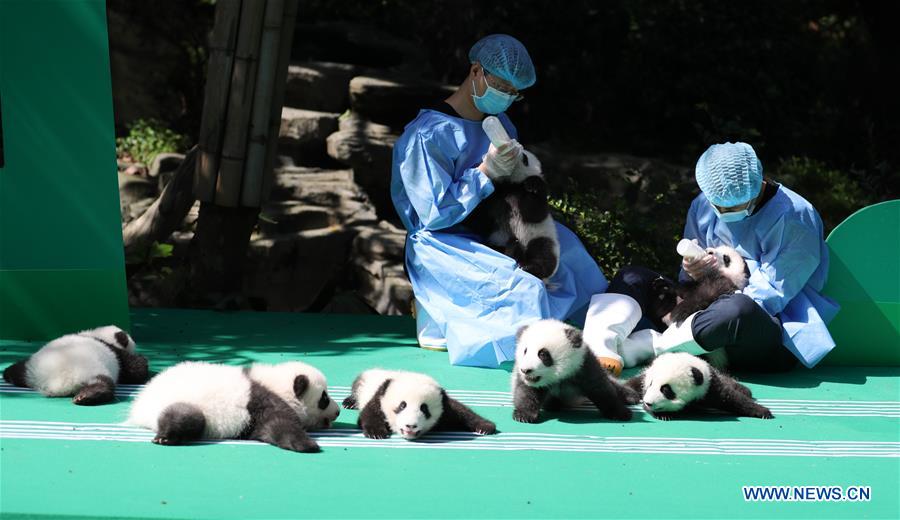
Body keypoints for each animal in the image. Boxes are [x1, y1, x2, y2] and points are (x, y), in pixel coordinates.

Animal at [2, 325, 149, 405]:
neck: (96, 334)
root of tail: (57, 382)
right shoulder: (116, 354)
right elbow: (136, 368)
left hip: (31, 368)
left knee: (18, 371)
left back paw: (8, 373)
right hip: (92, 371)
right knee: (103, 383)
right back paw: (86, 396)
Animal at [127, 360, 340, 453]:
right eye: (324, 398)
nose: (337, 411)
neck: (276, 385)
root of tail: (140, 407)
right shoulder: (262, 402)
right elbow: (280, 425)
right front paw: (308, 445)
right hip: (183, 403)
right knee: (186, 417)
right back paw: (165, 437)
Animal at [342, 369, 497, 440]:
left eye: (424, 408)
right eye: (402, 405)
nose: (410, 426)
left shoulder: (445, 406)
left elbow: (463, 412)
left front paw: (485, 427)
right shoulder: (379, 396)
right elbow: (369, 414)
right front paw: (376, 433)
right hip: (363, 382)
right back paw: (350, 402)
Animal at [464, 149, 560, 282]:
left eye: (525, 158)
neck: (511, 184)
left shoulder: (529, 196)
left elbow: (535, 212)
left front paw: (532, 184)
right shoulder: (496, 195)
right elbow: (478, 218)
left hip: (540, 237)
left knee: (544, 255)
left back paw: (528, 267)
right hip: (497, 239)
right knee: (497, 248)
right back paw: (513, 248)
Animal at [625, 352, 773, 421]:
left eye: (666, 390)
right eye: (651, 384)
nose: (648, 403)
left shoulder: (710, 385)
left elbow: (732, 398)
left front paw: (762, 411)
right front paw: (663, 415)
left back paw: (745, 390)